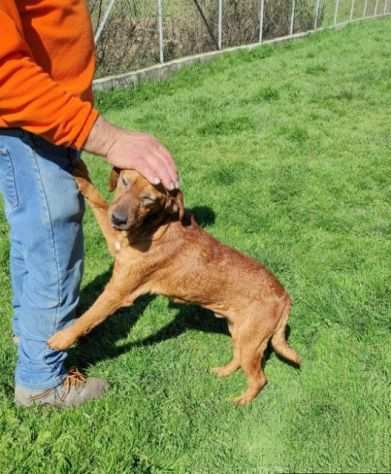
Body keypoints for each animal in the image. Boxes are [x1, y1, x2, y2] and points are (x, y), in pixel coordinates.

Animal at [48, 160, 300, 404]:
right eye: (124, 181)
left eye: (148, 199)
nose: (118, 219)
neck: (156, 226)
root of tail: (285, 297)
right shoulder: (115, 240)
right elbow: (98, 200)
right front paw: (79, 171)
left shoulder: (118, 292)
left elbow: (87, 318)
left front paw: (61, 339)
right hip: (238, 331)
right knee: (238, 358)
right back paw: (223, 372)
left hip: (250, 341)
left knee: (259, 378)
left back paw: (241, 401)